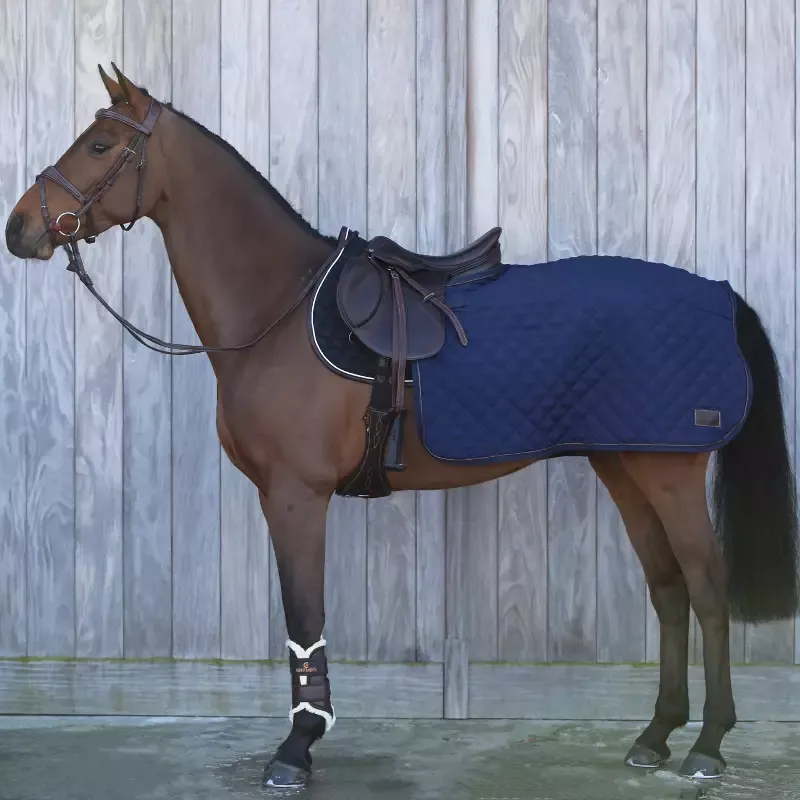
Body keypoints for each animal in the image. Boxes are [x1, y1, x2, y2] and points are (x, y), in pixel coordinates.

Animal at [5, 63, 798, 790]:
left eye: (101, 145)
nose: (20, 229)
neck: (277, 308)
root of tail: (720, 295)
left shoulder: (294, 496)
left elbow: (304, 618)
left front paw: (297, 748)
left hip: (668, 471)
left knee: (706, 588)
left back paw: (707, 745)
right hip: (625, 465)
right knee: (667, 589)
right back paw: (655, 735)